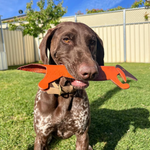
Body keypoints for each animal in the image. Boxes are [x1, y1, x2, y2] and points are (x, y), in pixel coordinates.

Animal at [34, 21, 104, 149]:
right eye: (66, 39)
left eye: (92, 42)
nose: (91, 72)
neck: (64, 91)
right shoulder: (41, 136)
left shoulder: (82, 134)